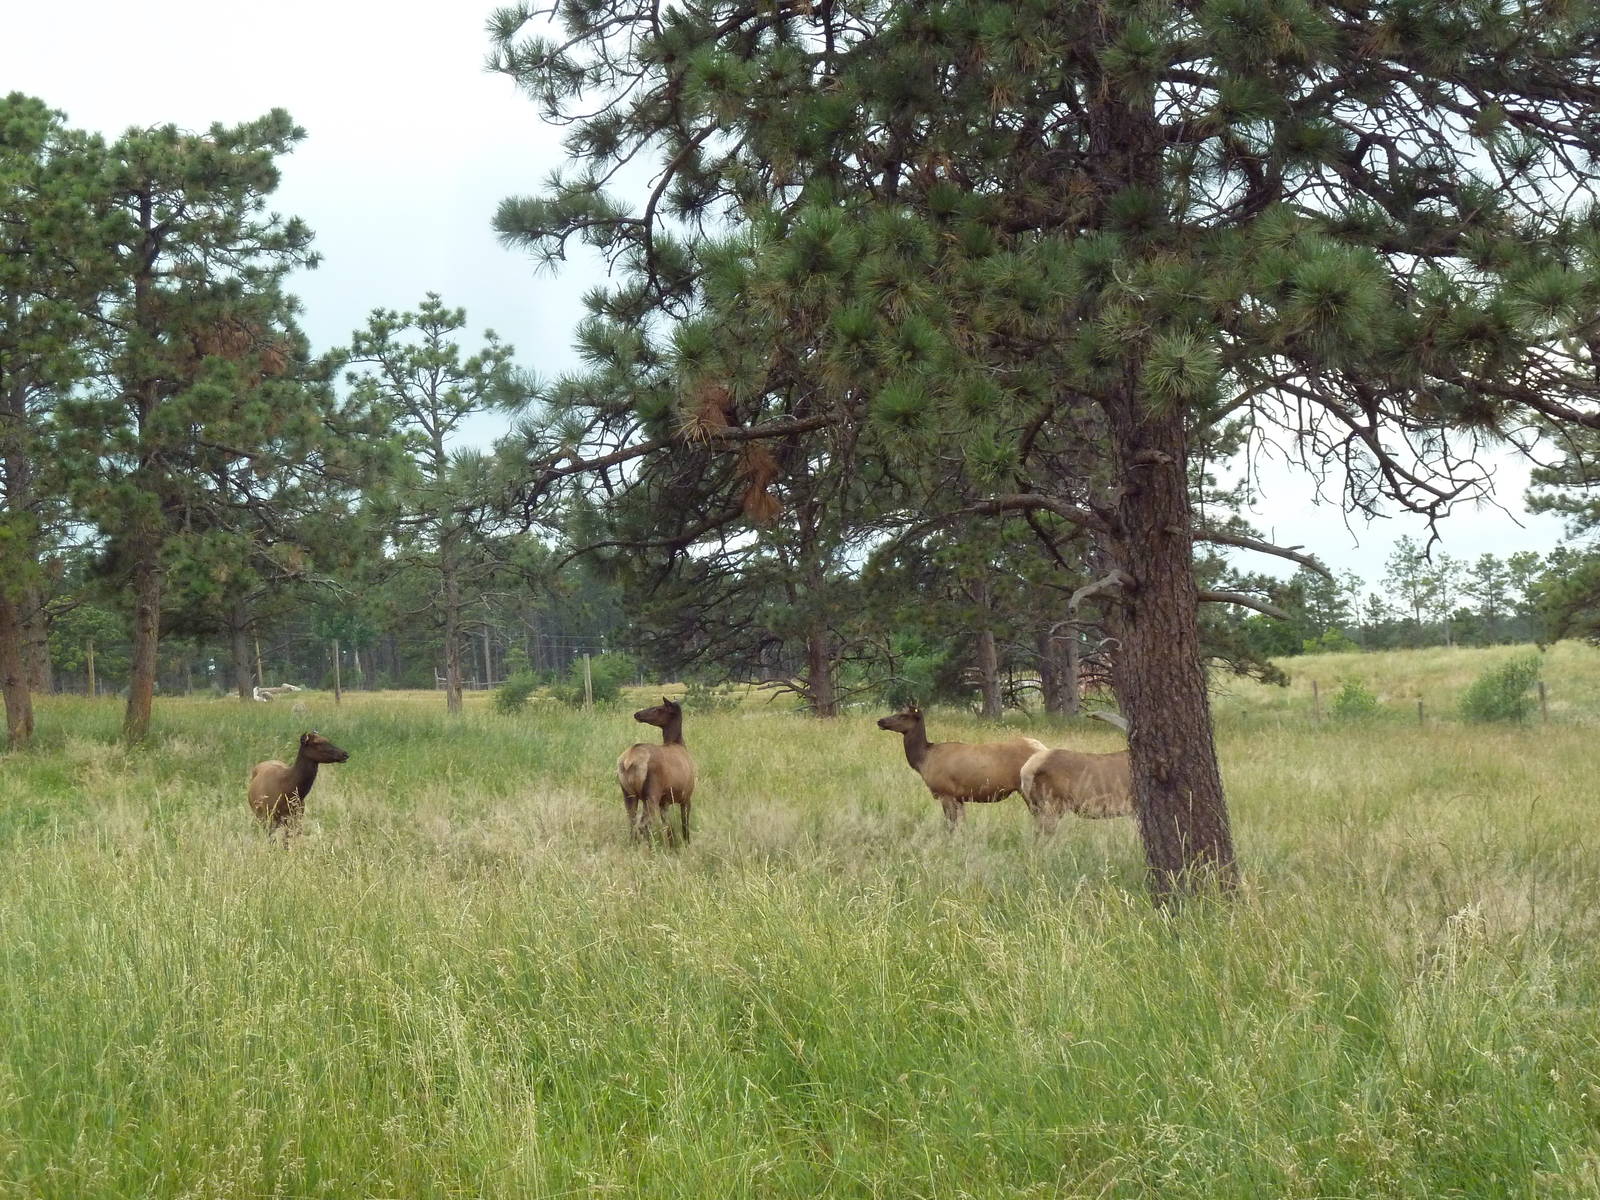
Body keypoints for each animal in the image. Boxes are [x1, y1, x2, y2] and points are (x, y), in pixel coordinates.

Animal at [617, 697, 696, 844]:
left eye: (658, 708)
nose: (637, 714)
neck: (679, 743)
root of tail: (628, 761)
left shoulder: (664, 802)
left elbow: (668, 827)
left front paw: (672, 844)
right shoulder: (687, 796)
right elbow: (684, 825)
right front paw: (686, 844)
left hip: (629, 794)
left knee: (632, 823)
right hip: (651, 794)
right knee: (644, 824)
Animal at [876, 703, 1046, 828]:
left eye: (903, 715)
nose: (880, 721)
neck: (923, 760)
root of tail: (1043, 748)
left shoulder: (945, 792)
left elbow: (950, 825)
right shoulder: (959, 797)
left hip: (1028, 788)